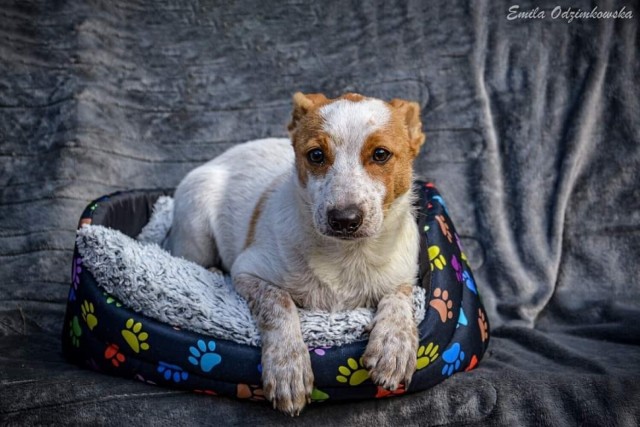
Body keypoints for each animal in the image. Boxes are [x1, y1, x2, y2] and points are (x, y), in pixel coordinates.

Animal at [165, 92, 424, 416]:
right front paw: (288, 368)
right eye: (316, 155)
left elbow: (399, 298)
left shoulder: (403, 275)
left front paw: (394, 345)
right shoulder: (248, 270)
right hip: (196, 225)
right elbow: (280, 303)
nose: (344, 219)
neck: (347, 256)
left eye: (380, 154)